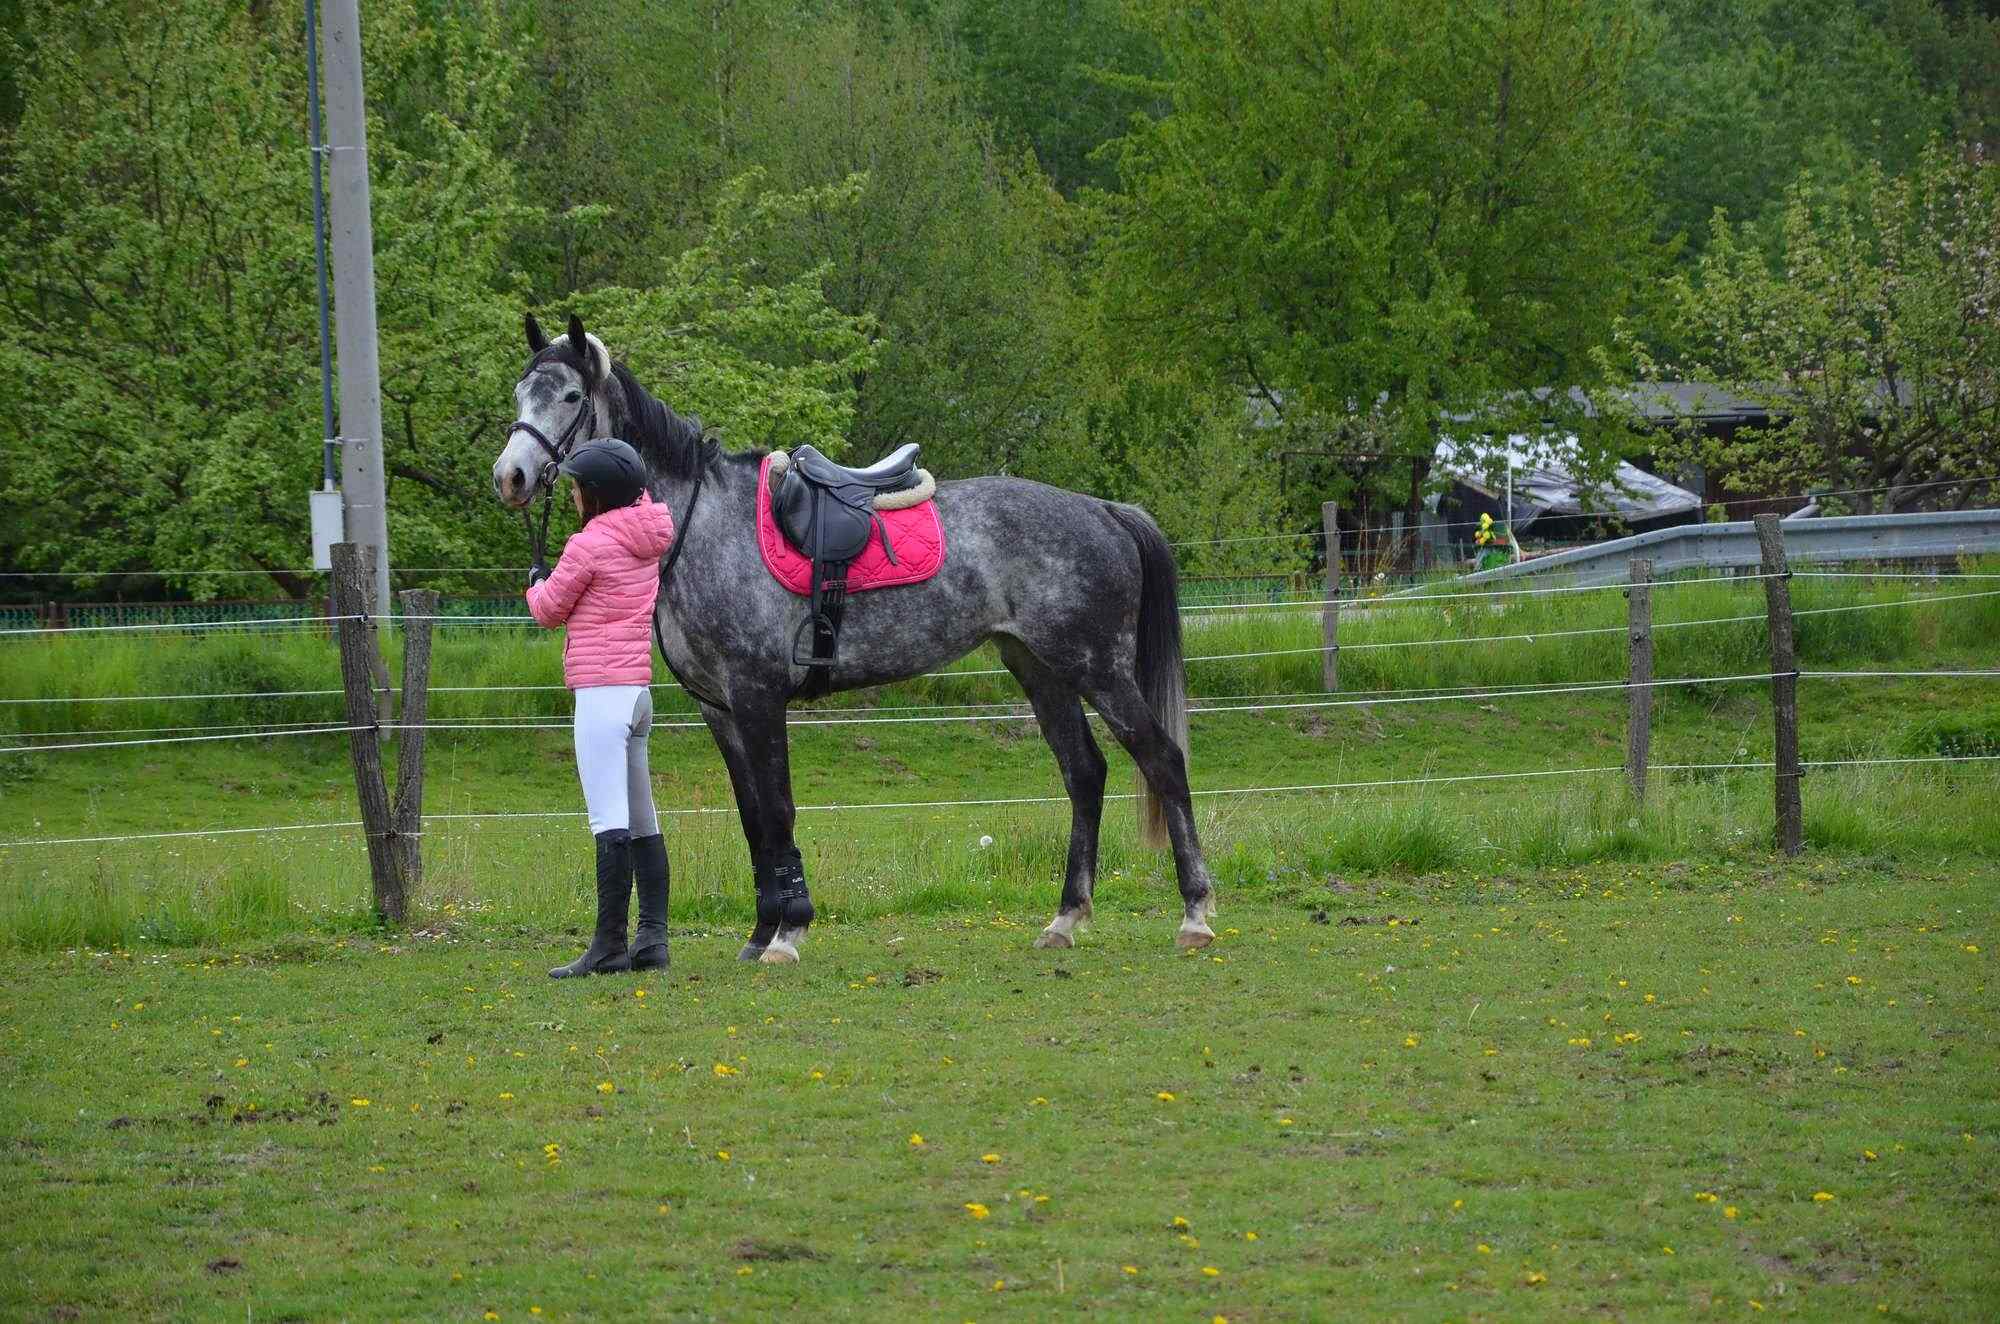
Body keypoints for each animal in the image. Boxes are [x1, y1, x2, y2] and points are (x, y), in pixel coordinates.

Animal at [496, 316, 1216, 972]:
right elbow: (753, 817)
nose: (511, 477)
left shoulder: (758, 698)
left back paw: (1195, 915)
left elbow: (779, 809)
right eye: (520, 391)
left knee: (1162, 760)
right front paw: (761, 931)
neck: (702, 525)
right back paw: (1065, 919)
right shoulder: (719, 709)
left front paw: (788, 932)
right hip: (1040, 669)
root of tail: (1105, 510)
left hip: (1098, 669)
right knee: (1084, 773)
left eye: (569, 396)